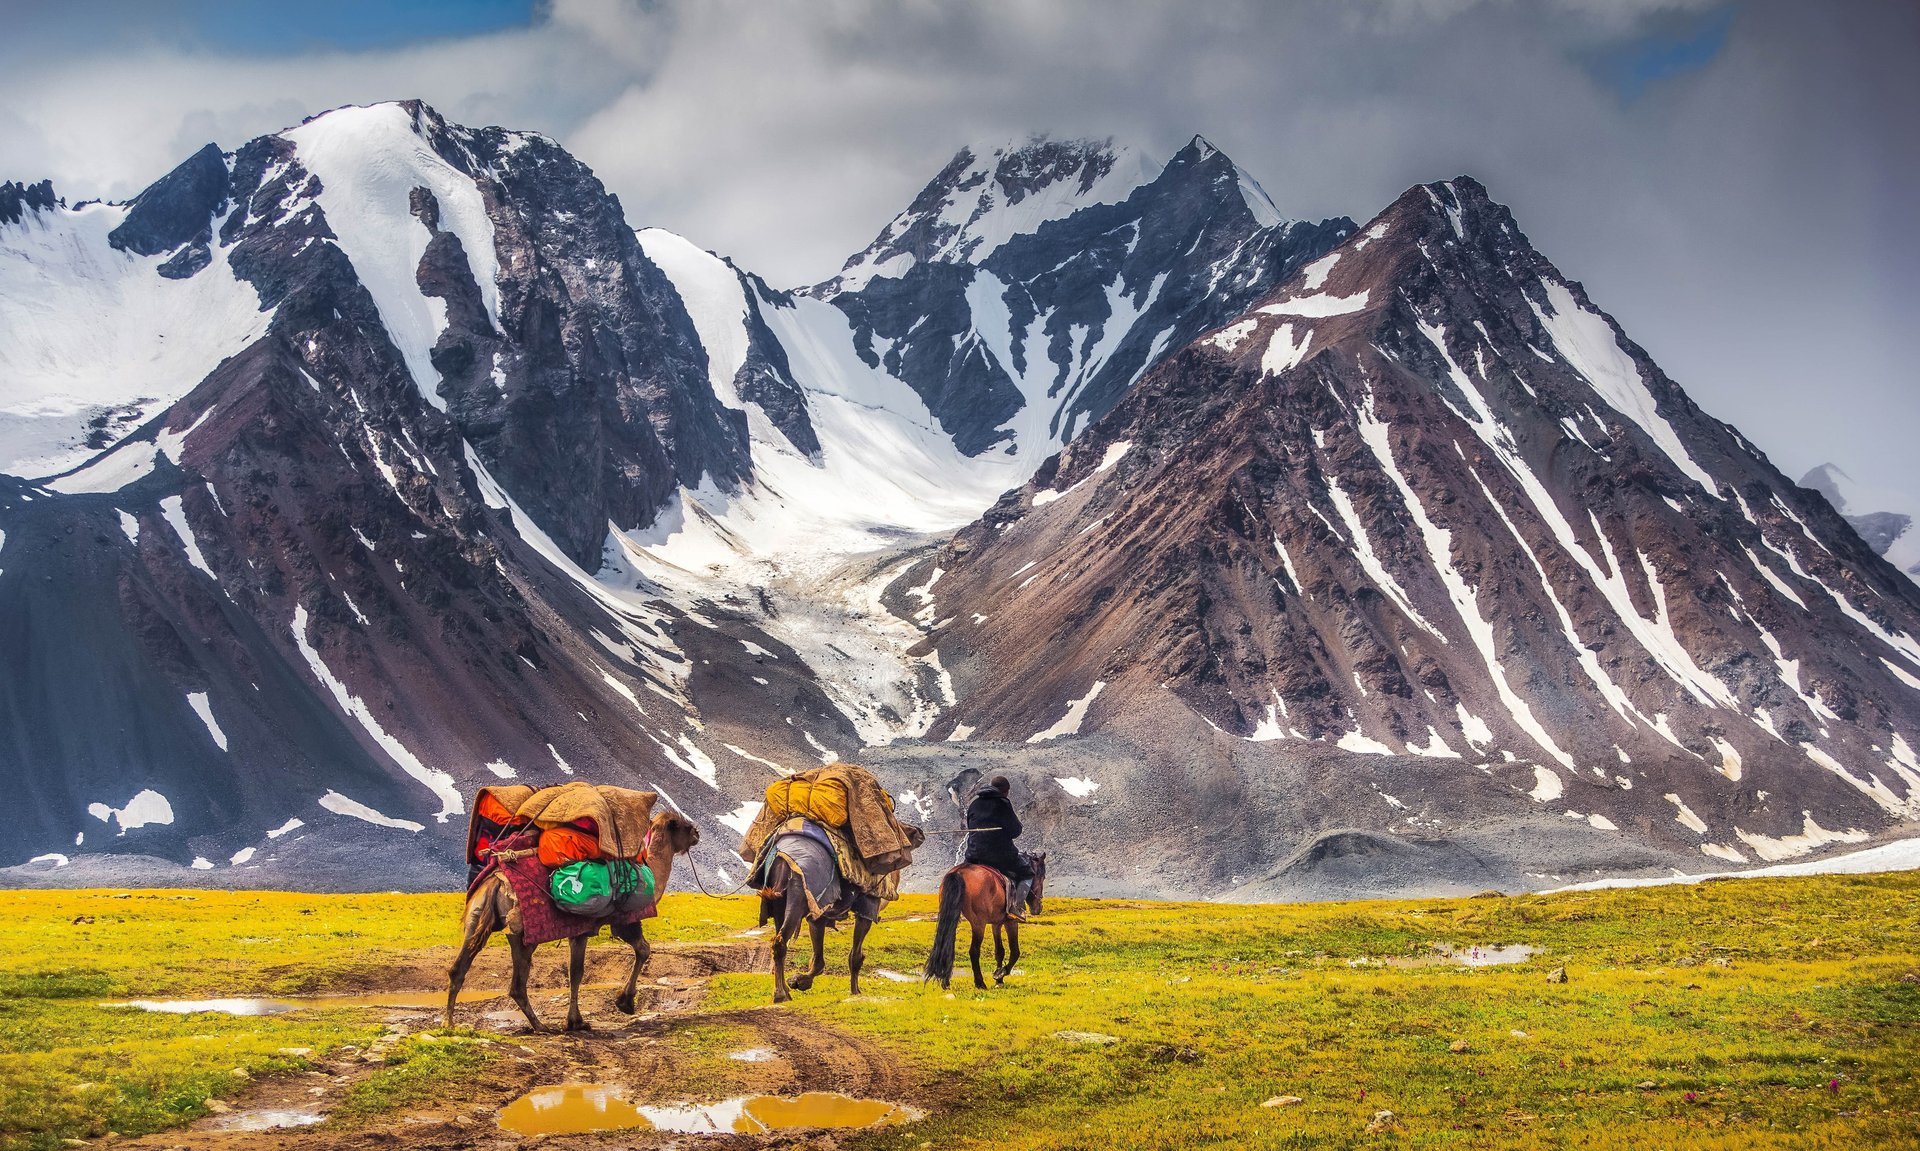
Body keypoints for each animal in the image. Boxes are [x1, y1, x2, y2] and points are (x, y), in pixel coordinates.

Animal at [760, 860, 875, 1006]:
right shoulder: (869, 903)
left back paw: (782, 992)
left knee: (779, 940)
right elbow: (855, 956)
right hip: (798, 896)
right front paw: (855, 991)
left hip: (780, 902)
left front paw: (799, 980)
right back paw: (781, 994)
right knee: (781, 941)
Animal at [925, 857, 1052, 991]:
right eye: (1042, 876)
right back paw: (980, 983)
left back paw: (945, 982)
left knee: (947, 944)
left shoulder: (996, 924)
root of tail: (959, 872)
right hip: (978, 924)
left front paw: (999, 980)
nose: (1038, 908)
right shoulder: (1011, 922)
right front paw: (1001, 973)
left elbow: (999, 951)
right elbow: (1015, 951)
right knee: (974, 951)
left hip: (952, 915)